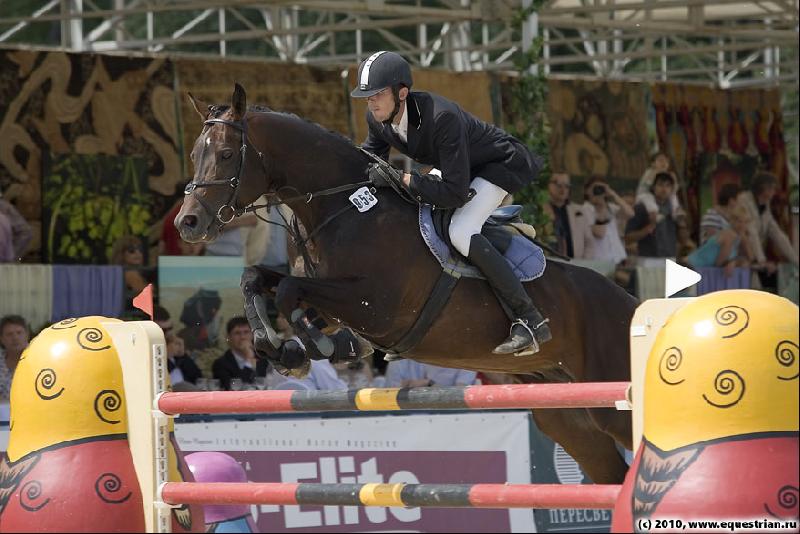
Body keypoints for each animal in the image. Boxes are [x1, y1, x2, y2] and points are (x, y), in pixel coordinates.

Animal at [175, 84, 639, 484]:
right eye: (196, 154)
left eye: (226, 153)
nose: (188, 223)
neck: (341, 207)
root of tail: (631, 304)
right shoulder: (332, 302)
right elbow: (255, 278)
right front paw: (287, 348)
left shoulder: (375, 306)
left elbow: (290, 292)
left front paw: (310, 349)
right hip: (566, 415)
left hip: (613, 400)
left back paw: (527, 329)